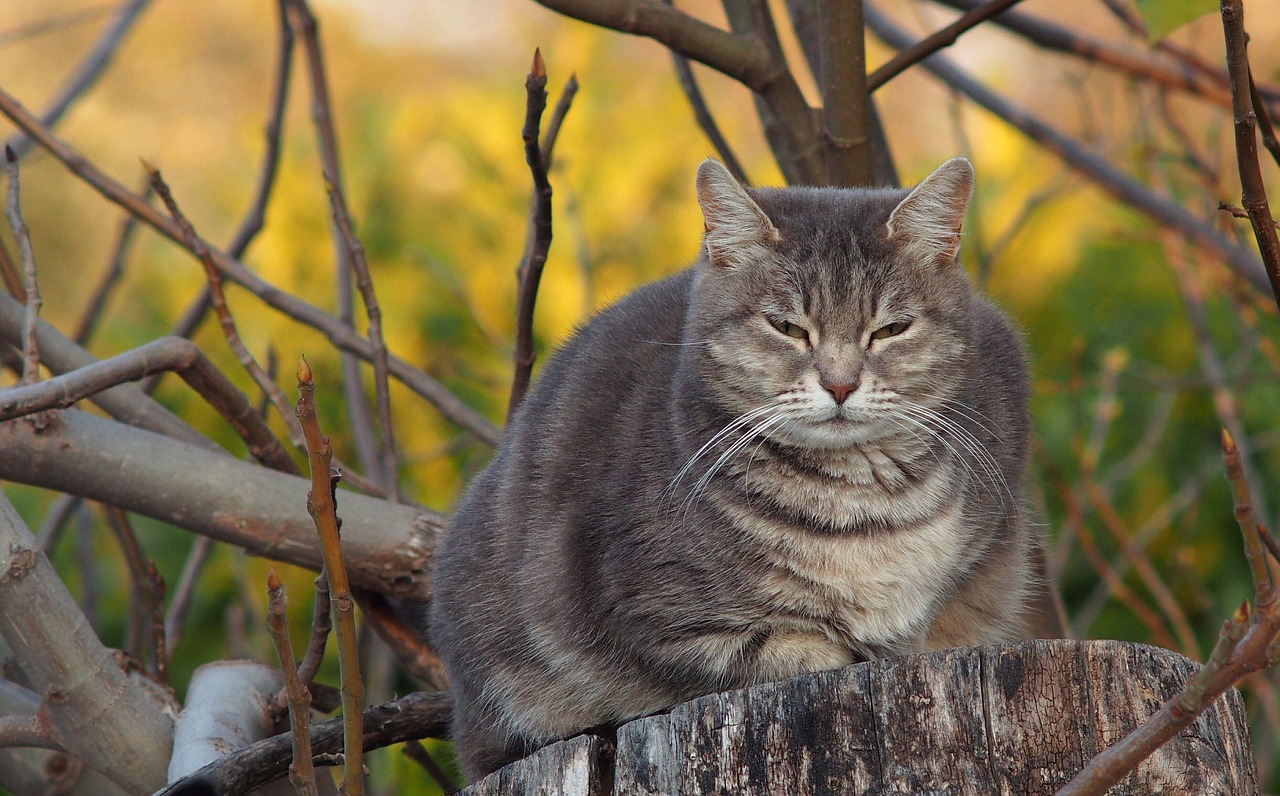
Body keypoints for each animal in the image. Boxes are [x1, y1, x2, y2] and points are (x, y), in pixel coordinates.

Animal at [430, 159, 1039, 783]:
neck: (859, 504)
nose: (840, 384)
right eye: (787, 327)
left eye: (891, 329)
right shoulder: (653, 614)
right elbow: (785, 650)